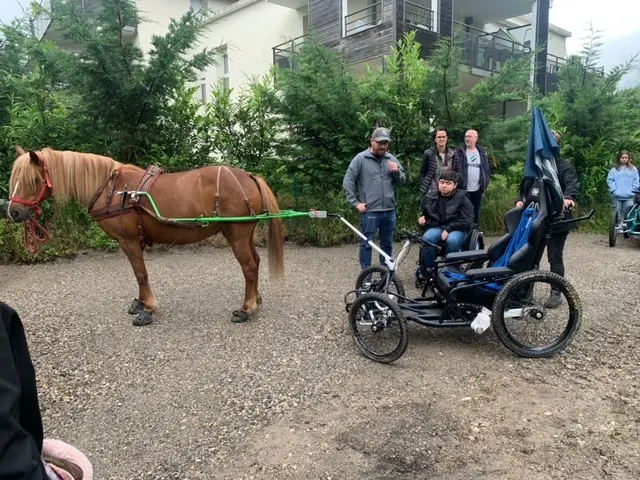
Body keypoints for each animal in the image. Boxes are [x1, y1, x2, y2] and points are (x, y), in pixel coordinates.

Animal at [6, 146, 284, 326]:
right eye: (14, 179)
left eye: (34, 179)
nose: (13, 212)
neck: (113, 191)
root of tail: (249, 177)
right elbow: (138, 274)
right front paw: (140, 303)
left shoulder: (128, 240)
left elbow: (140, 273)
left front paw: (148, 308)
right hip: (244, 234)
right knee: (255, 262)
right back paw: (256, 300)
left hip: (237, 234)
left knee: (249, 266)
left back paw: (246, 308)